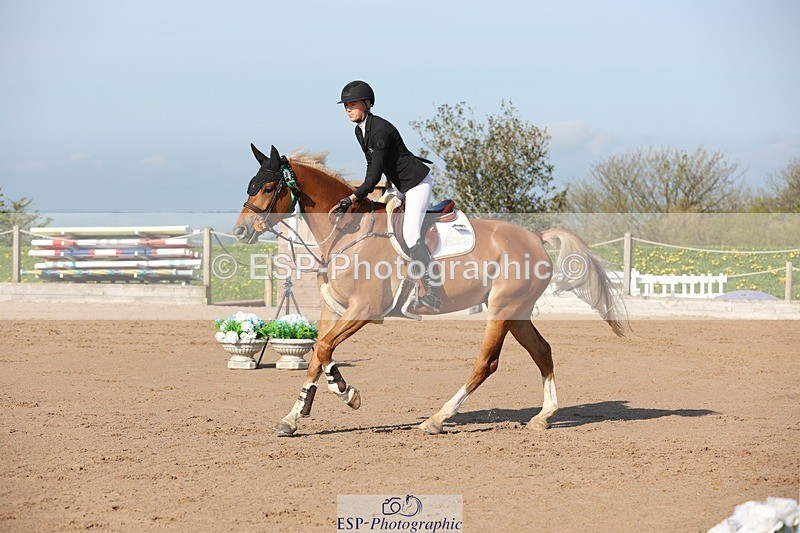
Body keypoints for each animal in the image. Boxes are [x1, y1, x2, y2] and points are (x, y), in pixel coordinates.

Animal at [233, 144, 625, 436]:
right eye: (249, 185)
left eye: (267, 188)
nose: (240, 232)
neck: (346, 232)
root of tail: (536, 236)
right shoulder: (334, 309)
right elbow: (317, 354)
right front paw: (293, 417)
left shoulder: (364, 310)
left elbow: (327, 348)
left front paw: (348, 394)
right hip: (517, 312)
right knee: (542, 351)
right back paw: (543, 417)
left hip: (502, 308)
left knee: (487, 362)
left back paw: (437, 419)